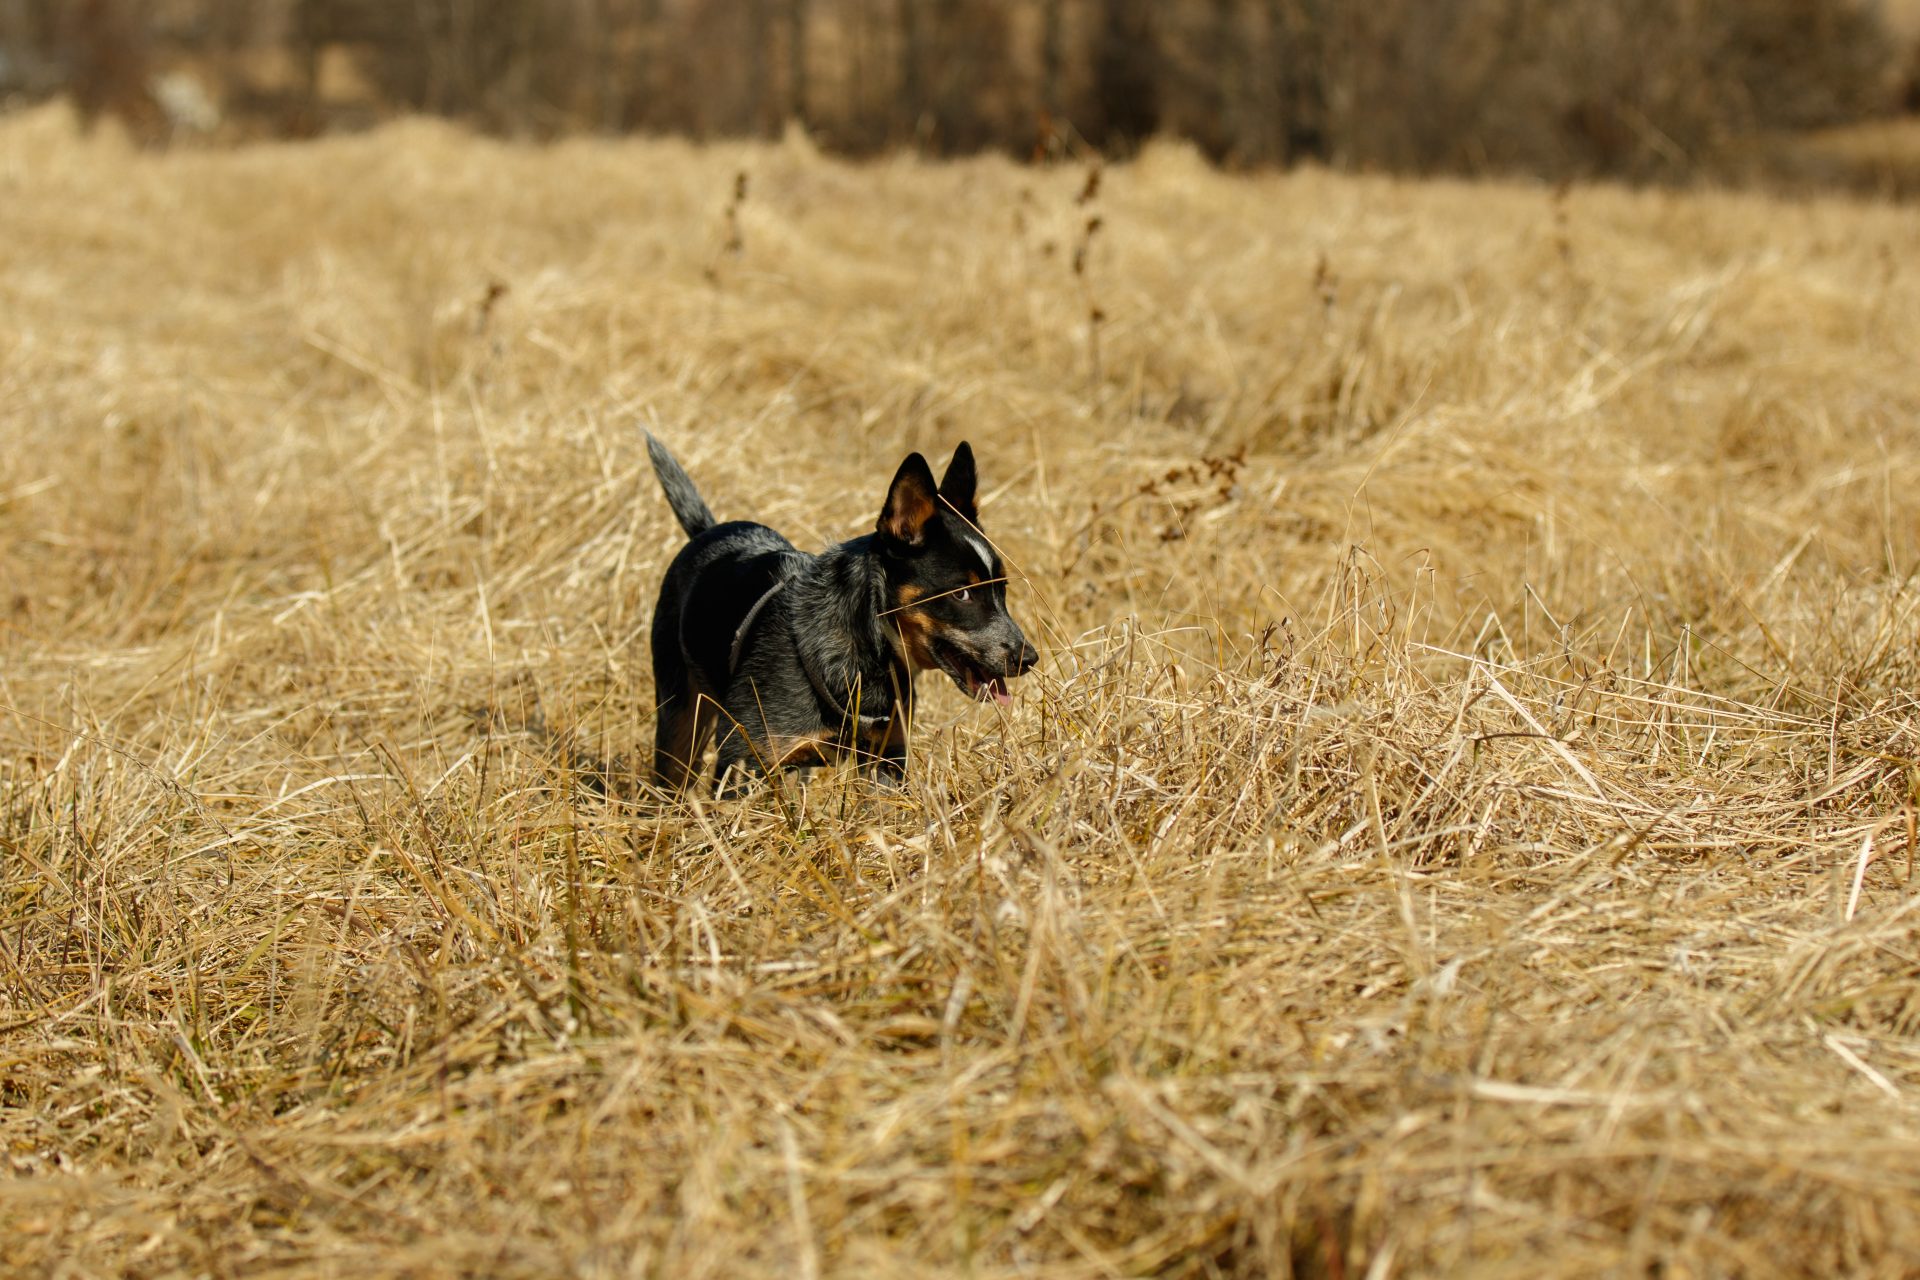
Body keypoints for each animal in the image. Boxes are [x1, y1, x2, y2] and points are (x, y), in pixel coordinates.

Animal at [641, 435, 1036, 794]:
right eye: (962, 594)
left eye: (1002, 589)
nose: (1028, 657)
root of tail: (706, 530)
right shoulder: (743, 764)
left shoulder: (886, 762)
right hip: (680, 721)